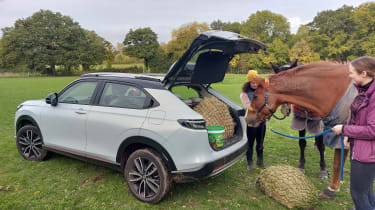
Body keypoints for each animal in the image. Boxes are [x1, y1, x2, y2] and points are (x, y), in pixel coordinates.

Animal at [247, 62, 358, 199]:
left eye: (255, 96)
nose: (248, 118)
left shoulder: (322, 124)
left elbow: (322, 146)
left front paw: (323, 170)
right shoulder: (301, 123)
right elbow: (302, 143)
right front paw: (301, 166)